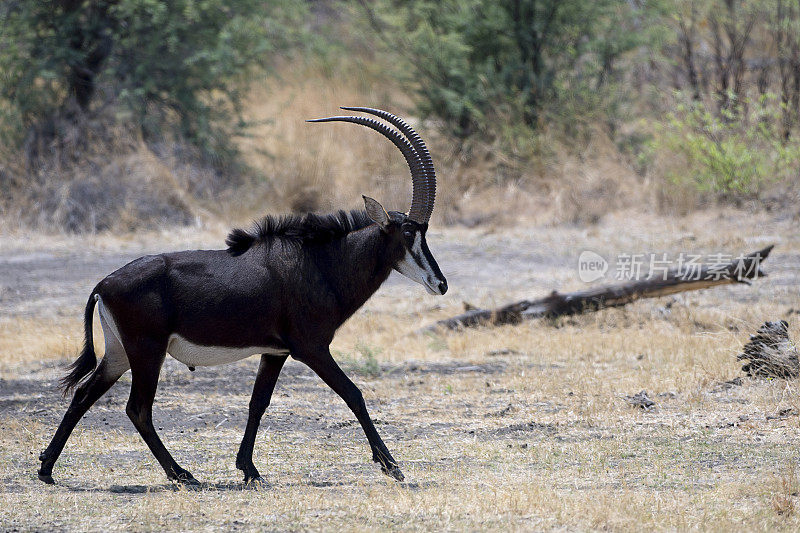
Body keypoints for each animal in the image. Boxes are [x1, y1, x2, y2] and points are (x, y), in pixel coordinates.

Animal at [37, 106, 446, 484]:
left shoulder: (275, 352)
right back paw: (182, 474)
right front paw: (392, 466)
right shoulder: (311, 348)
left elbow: (257, 403)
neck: (321, 262)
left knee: (84, 394)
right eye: (408, 233)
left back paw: (46, 469)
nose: (440, 283)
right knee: (138, 409)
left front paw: (249, 469)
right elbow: (354, 394)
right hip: (147, 351)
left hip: (120, 353)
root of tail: (103, 285)